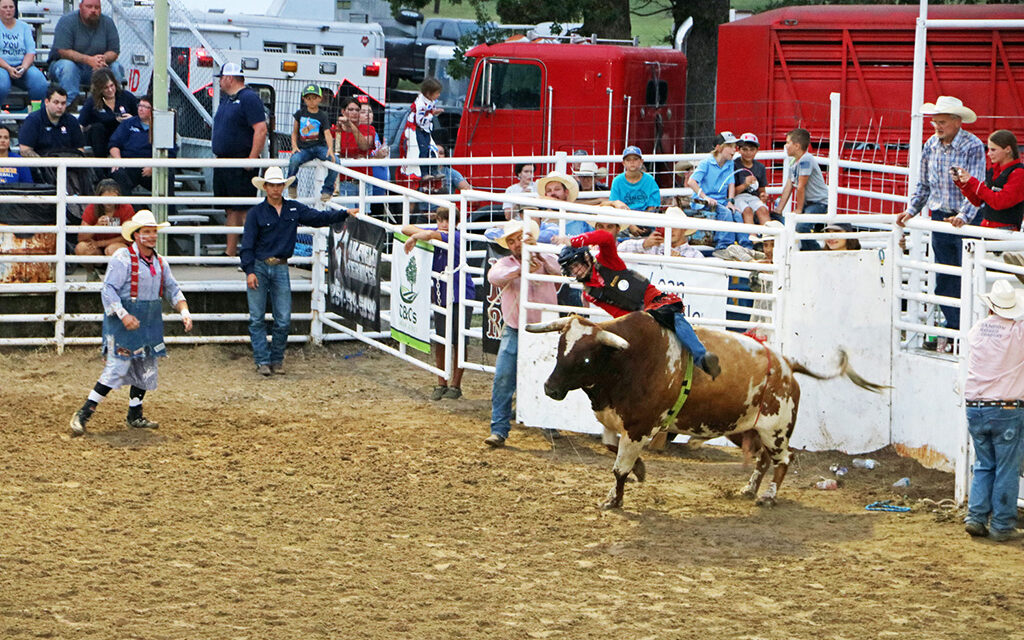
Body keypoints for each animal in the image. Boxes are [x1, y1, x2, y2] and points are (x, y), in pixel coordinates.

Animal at [524, 311, 884, 505]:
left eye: (585, 358)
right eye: (560, 348)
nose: (550, 388)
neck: (627, 360)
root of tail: (786, 365)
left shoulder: (639, 427)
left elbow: (619, 468)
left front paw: (614, 499)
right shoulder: (619, 424)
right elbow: (617, 453)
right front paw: (639, 471)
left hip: (776, 429)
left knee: (784, 460)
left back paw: (767, 496)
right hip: (745, 428)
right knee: (762, 460)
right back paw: (749, 489)